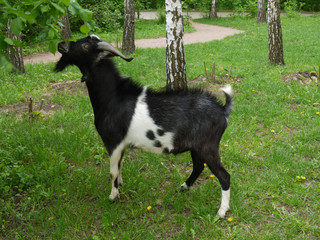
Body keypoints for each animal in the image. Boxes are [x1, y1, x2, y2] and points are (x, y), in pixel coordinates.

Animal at [55, 35, 234, 218]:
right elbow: (119, 167)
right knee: (198, 166)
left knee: (224, 176)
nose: (62, 44)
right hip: (196, 147)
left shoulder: (113, 142)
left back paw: (221, 211)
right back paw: (184, 187)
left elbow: (112, 171)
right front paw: (121, 184)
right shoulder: (121, 145)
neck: (113, 97)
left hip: (208, 146)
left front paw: (113, 196)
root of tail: (222, 110)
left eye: (85, 46)